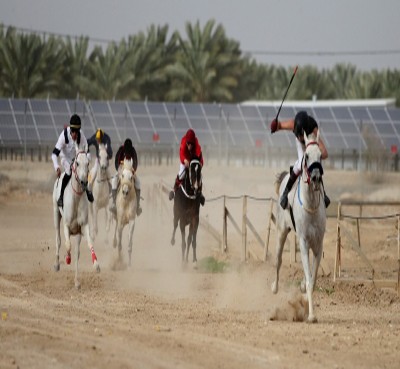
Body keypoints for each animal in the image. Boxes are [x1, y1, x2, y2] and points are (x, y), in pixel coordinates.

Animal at [53, 147, 101, 288]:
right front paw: (66, 258)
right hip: (56, 214)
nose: (84, 182)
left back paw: (76, 281)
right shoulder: (67, 225)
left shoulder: (83, 226)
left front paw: (96, 265)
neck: (76, 198)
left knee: (77, 253)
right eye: (77, 163)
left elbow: (89, 243)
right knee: (58, 239)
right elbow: (67, 245)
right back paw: (57, 264)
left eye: (88, 163)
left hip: (78, 234)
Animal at [270, 130, 326, 322]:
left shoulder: (318, 243)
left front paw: (304, 294)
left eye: (321, 156)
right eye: (307, 156)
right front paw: (311, 316)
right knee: (278, 260)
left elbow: (313, 279)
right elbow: (309, 278)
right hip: (281, 231)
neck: (311, 208)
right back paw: (274, 287)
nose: (316, 178)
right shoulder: (303, 242)